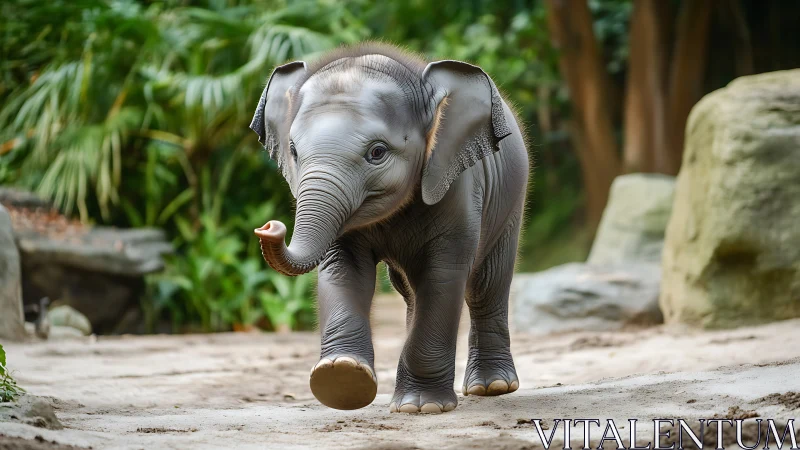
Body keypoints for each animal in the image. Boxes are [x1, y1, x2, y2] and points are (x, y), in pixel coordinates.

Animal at [250, 43, 529, 413]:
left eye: (377, 152)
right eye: (293, 151)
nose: (268, 226)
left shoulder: (456, 185)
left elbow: (443, 276)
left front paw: (422, 407)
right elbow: (344, 269)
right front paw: (340, 377)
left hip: (512, 197)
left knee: (486, 284)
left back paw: (492, 387)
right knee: (411, 289)